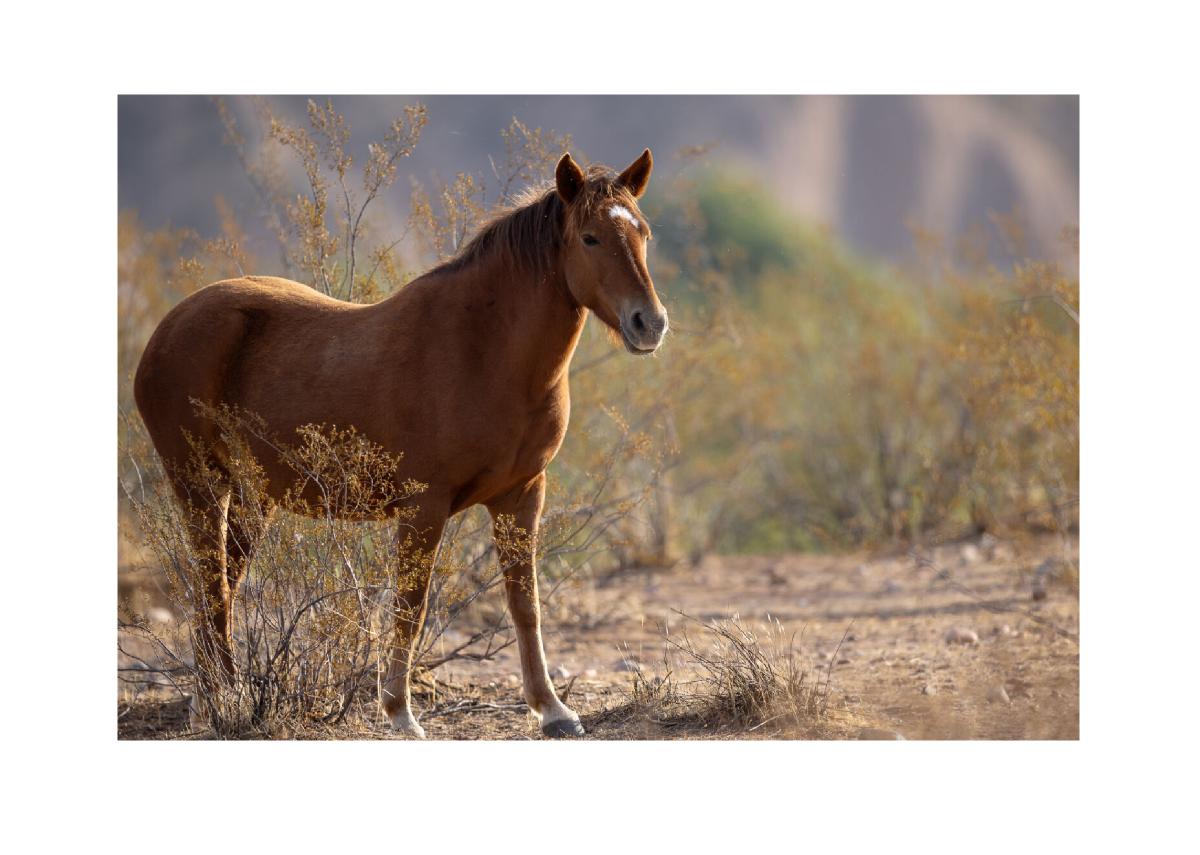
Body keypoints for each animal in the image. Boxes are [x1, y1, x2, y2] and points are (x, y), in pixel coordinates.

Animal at [133, 149, 668, 738]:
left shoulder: (523, 494)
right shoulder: (423, 507)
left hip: (253, 499)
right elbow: (410, 607)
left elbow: (524, 603)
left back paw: (216, 698)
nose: (650, 323)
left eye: (643, 233)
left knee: (222, 585)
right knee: (211, 582)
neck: (485, 350)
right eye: (590, 238)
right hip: (200, 486)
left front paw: (552, 709)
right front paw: (400, 712)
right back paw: (216, 701)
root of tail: (168, 328)